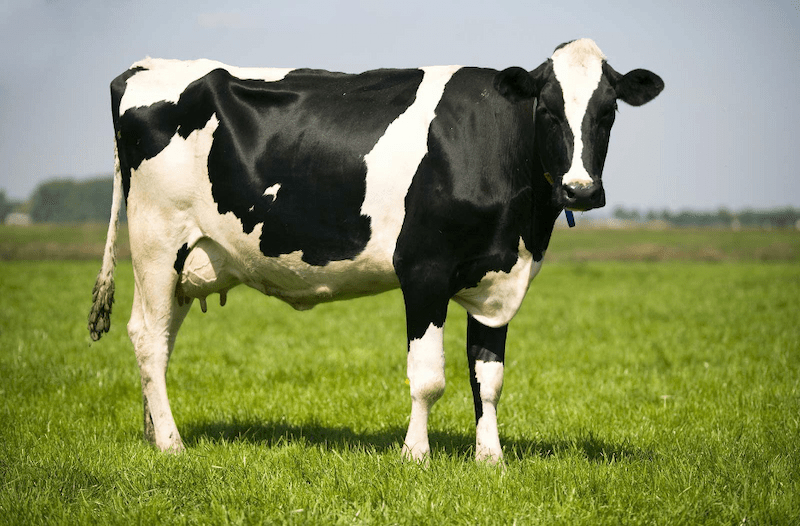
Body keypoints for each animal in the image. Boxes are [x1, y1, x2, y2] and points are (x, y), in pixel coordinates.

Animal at [89, 39, 664, 464]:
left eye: (608, 112)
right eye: (548, 109)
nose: (580, 190)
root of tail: (145, 67)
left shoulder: (499, 279)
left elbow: (489, 377)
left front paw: (491, 459)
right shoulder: (424, 270)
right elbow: (429, 377)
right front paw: (416, 456)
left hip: (189, 259)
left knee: (162, 340)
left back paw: (153, 433)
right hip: (157, 240)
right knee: (147, 338)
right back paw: (171, 445)